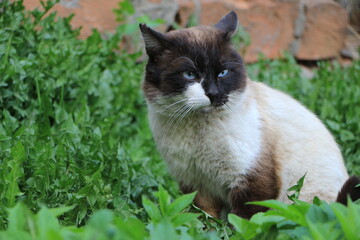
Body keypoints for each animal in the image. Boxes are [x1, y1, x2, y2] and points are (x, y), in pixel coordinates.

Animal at [139, 11, 360, 218]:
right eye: (189, 75)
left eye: (223, 73)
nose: (213, 94)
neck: (198, 130)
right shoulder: (196, 185)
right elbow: (204, 221)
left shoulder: (250, 181)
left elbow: (247, 222)